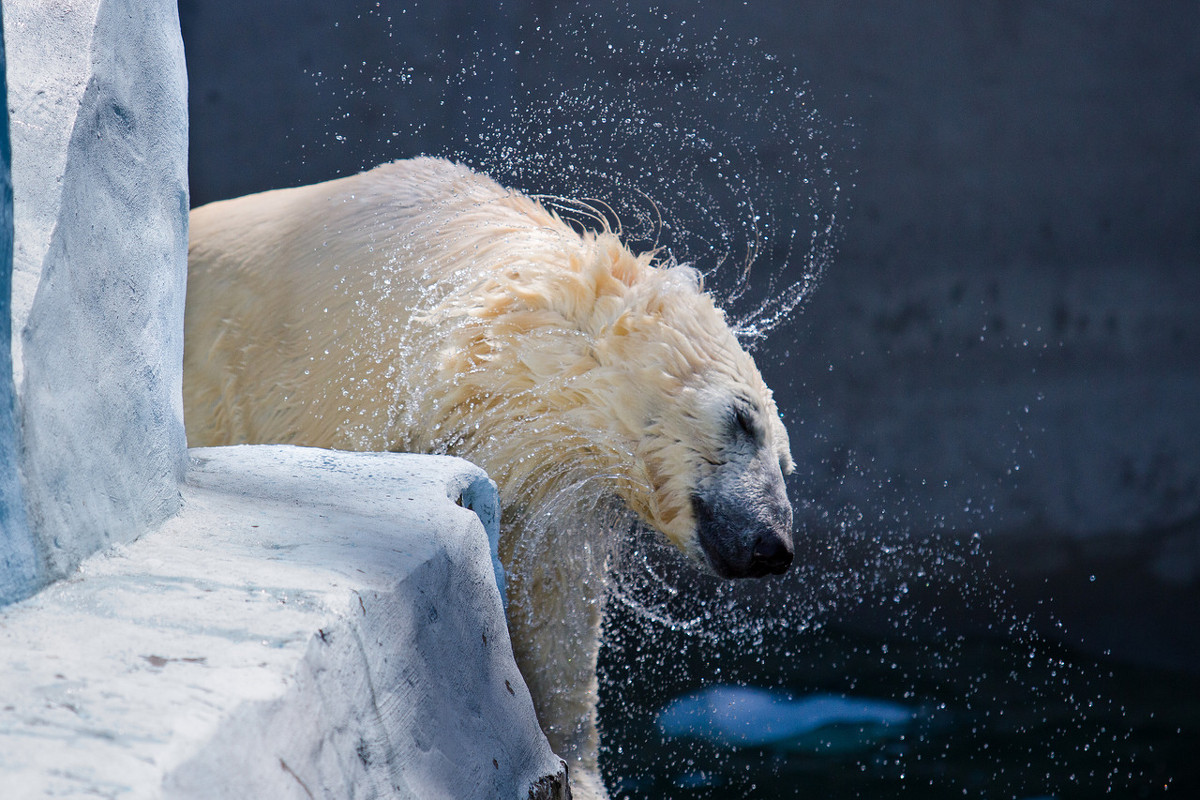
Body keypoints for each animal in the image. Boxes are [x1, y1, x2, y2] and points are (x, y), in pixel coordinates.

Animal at [182, 155, 792, 796]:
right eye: (742, 418)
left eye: (785, 461)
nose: (774, 544)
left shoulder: (545, 482)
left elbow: (555, 611)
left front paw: (574, 769)